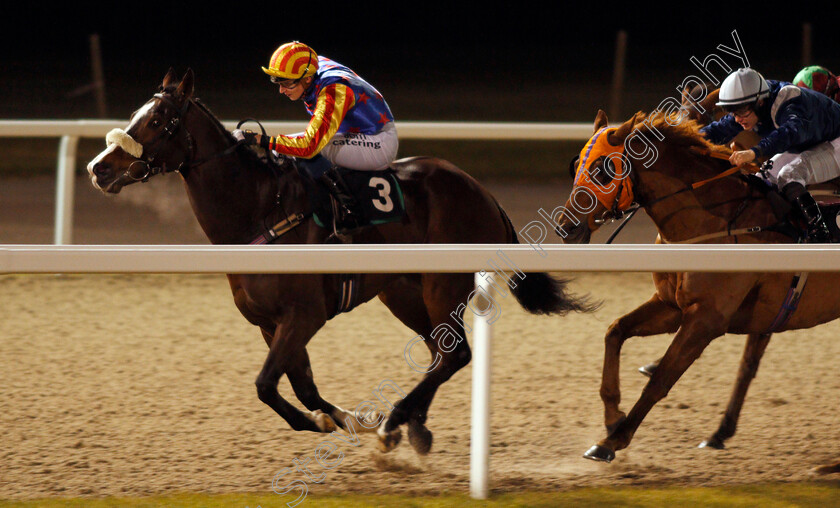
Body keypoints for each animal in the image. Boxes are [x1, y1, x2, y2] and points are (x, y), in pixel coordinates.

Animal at [85, 68, 592, 456]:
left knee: (455, 353)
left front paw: (341, 421)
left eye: (159, 120)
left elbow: (265, 384)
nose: (98, 168)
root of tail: (480, 189)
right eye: (135, 115)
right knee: (441, 352)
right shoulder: (270, 322)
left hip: (442, 283)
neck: (260, 211)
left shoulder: (304, 314)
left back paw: (397, 422)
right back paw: (410, 427)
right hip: (402, 291)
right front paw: (346, 419)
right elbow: (300, 385)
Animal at [556, 109, 840, 474]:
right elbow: (615, 332)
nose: (566, 228)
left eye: (602, 170)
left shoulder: (706, 318)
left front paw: (611, 441)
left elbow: (662, 379)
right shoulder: (671, 305)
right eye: (576, 165)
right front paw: (612, 416)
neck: (713, 222)